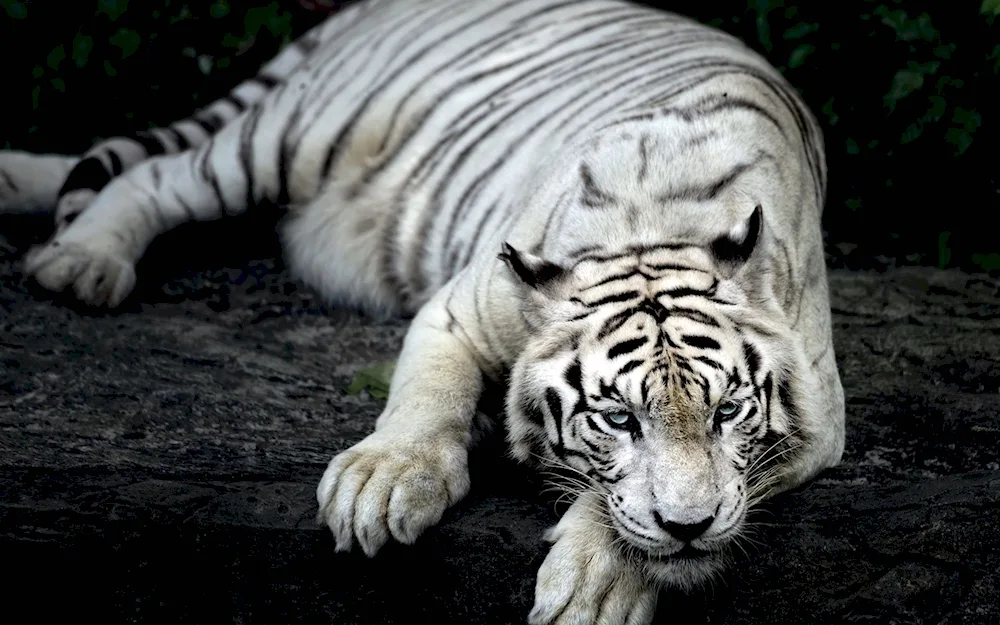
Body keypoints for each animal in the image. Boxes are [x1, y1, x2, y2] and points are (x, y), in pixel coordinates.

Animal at [0, 2, 848, 620]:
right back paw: (81, 259)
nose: (690, 526)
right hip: (294, 134)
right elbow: (423, 397)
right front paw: (381, 483)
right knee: (151, 176)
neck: (655, 227)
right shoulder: (459, 307)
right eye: (618, 419)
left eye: (728, 411)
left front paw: (600, 580)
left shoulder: (819, 414)